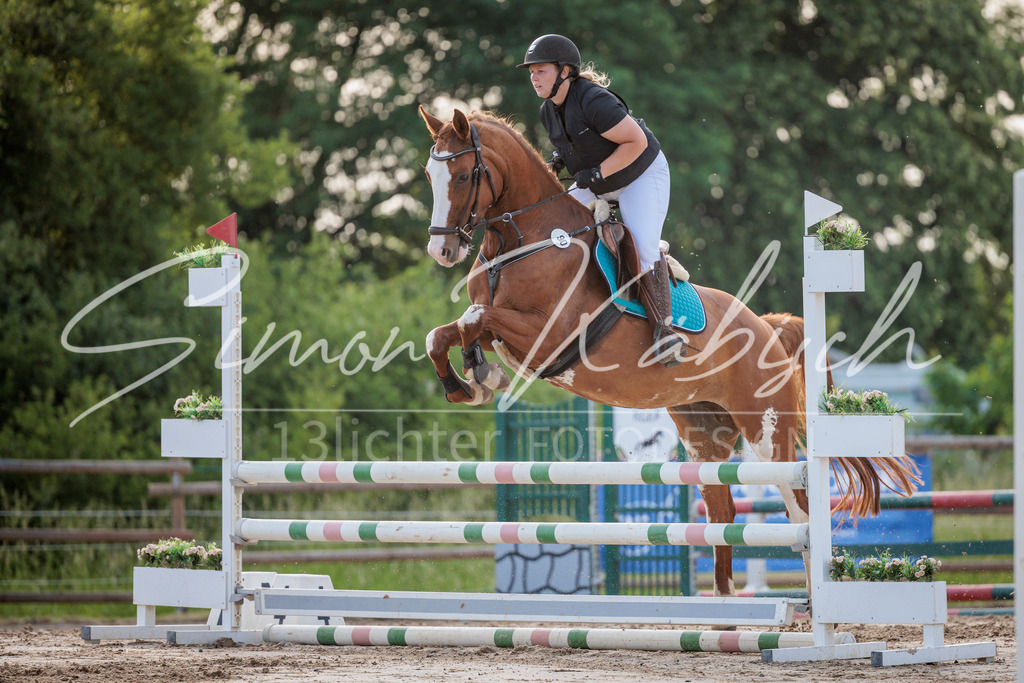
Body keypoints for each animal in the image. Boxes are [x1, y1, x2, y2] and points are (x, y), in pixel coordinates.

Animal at [418, 105, 919, 598]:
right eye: (429, 174)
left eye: (461, 176)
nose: (441, 250)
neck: (526, 239)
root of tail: (767, 329)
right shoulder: (508, 330)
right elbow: (446, 332)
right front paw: (469, 383)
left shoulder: (550, 333)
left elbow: (473, 319)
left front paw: (479, 377)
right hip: (704, 438)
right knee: (722, 517)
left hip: (766, 433)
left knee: (799, 509)